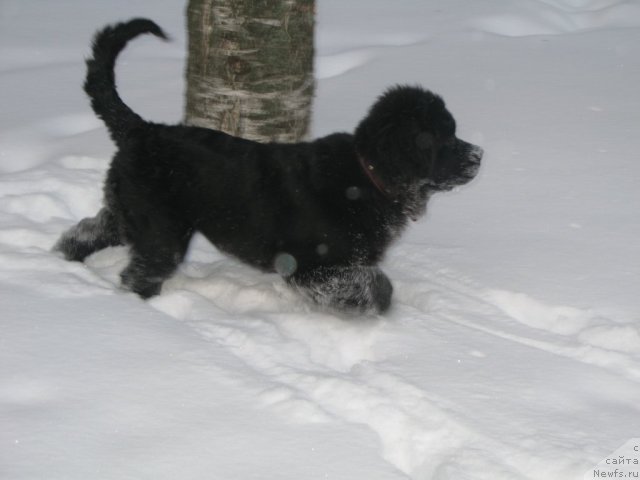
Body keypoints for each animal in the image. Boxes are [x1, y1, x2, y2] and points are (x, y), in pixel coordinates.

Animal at [55, 18, 482, 316]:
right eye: (445, 138)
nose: (479, 155)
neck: (368, 175)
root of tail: (142, 129)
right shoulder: (312, 267)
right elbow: (376, 286)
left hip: (129, 213)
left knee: (83, 232)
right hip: (160, 230)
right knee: (140, 272)